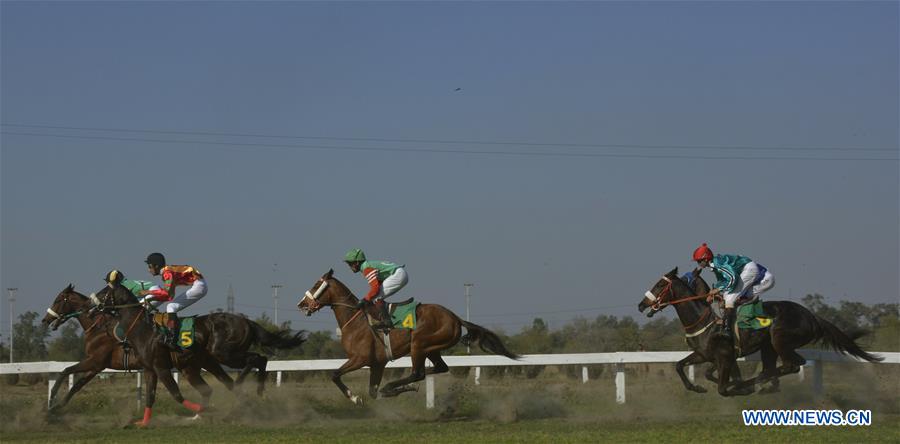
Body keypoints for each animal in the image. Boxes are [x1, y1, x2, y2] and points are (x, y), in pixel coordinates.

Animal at [40, 284, 236, 412]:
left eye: (58, 299)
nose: (45, 320)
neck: (98, 327)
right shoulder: (96, 366)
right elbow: (76, 386)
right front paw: (56, 409)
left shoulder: (95, 361)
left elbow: (65, 371)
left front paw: (51, 401)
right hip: (197, 364)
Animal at [94, 282, 306, 424]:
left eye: (104, 292)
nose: (92, 305)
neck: (143, 329)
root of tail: (246, 321)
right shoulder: (149, 369)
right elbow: (150, 395)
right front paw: (143, 423)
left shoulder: (161, 367)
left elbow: (176, 394)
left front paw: (204, 410)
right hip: (211, 360)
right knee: (249, 367)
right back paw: (245, 402)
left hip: (223, 353)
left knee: (257, 359)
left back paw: (253, 390)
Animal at [298, 268, 520, 404]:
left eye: (316, 284)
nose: (301, 304)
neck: (355, 319)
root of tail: (455, 317)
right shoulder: (377, 363)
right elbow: (372, 391)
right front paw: (374, 394)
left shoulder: (360, 358)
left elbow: (335, 374)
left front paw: (355, 398)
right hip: (432, 348)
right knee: (438, 368)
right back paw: (405, 386)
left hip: (419, 343)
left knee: (417, 372)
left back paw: (395, 386)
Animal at [636, 266, 884, 398]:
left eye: (660, 285)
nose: (641, 304)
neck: (705, 322)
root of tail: (811, 316)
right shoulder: (704, 354)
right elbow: (681, 366)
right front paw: (696, 387)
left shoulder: (724, 356)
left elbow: (723, 388)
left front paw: (735, 386)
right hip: (769, 347)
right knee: (776, 368)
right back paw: (762, 385)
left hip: (779, 340)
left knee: (792, 365)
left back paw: (752, 385)